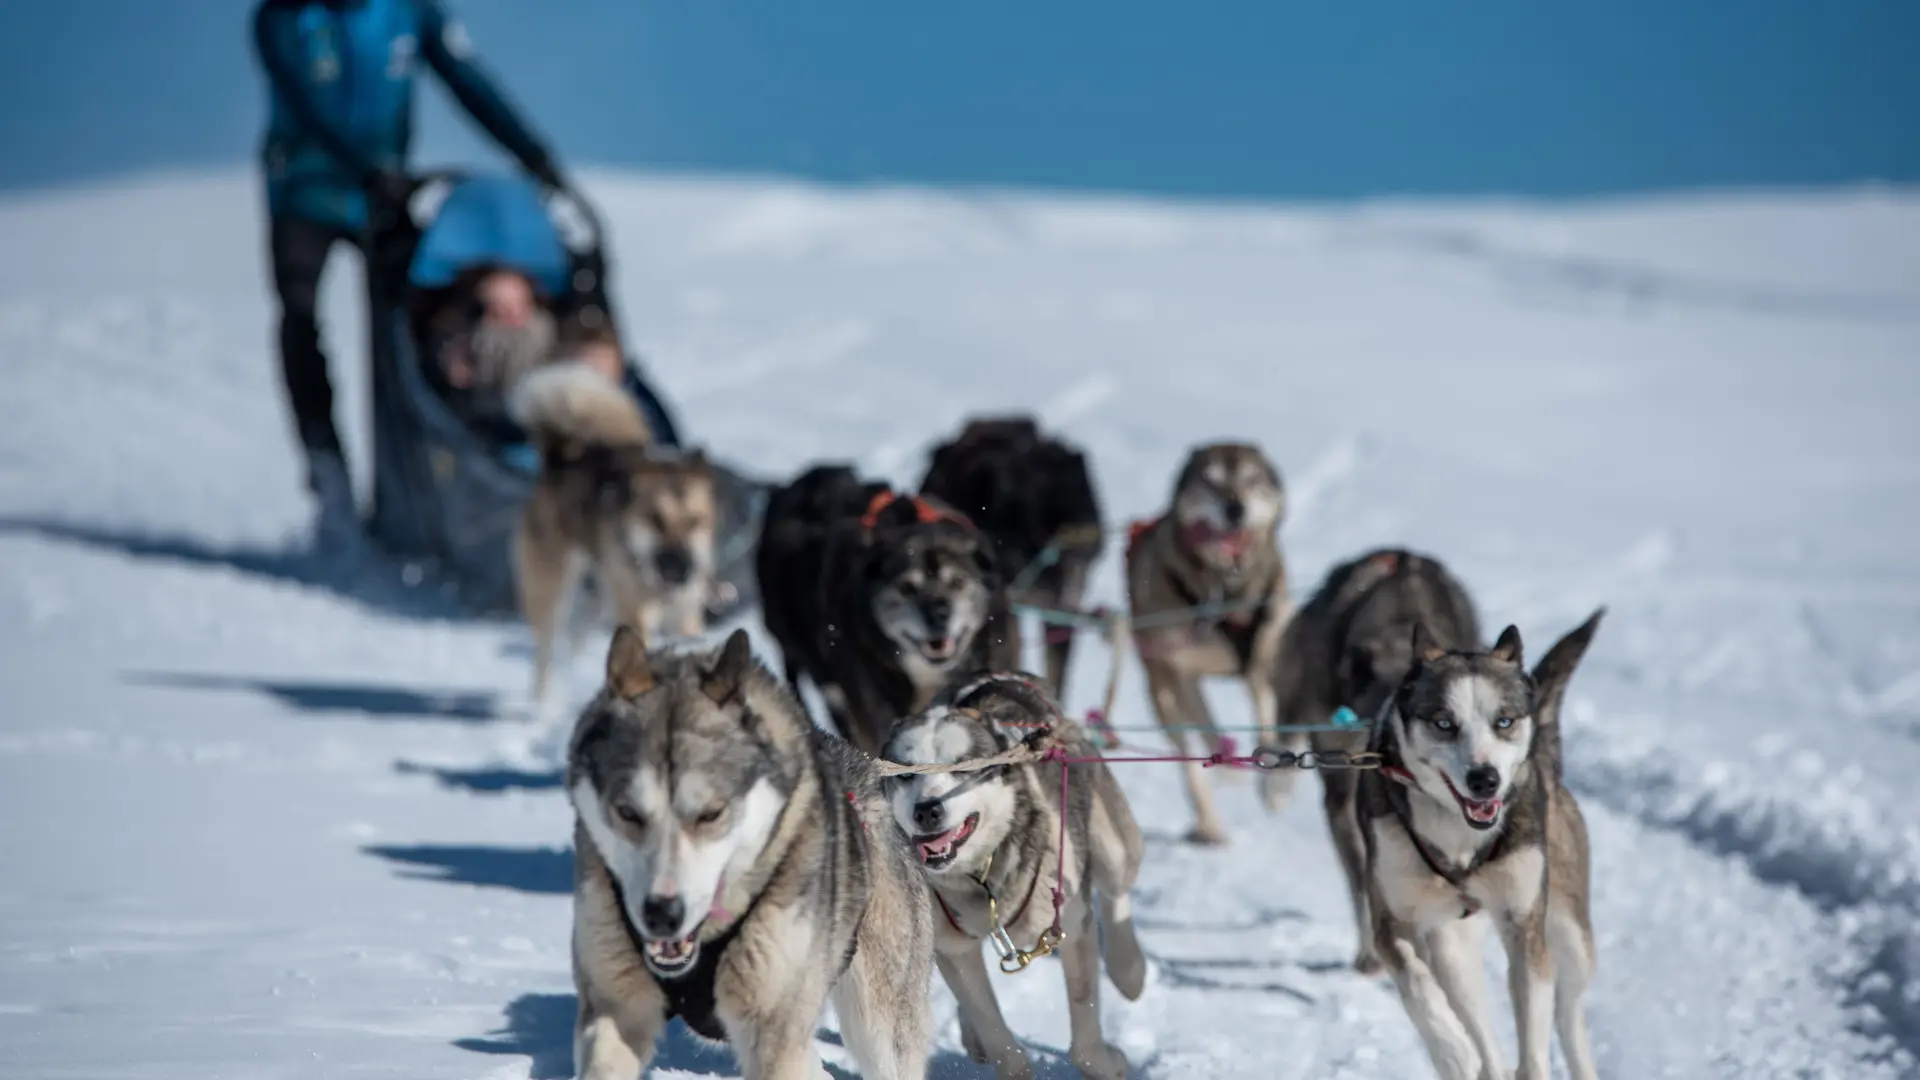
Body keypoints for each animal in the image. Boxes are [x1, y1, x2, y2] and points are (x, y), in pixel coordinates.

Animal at [564, 626, 933, 1068]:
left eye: (711, 814)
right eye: (627, 812)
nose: (662, 914)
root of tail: (865, 768)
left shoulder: (775, 1026)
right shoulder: (615, 1004)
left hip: (878, 1023)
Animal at [879, 672, 1136, 1076]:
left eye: (963, 767)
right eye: (906, 773)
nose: (927, 809)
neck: (983, 877)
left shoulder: (1069, 923)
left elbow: (1084, 1035)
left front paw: (1109, 1066)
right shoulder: (954, 948)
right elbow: (994, 1031)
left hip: (1109, 842)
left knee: (1116, 887)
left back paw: (1130, 969)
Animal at [1359, 611, 1612, 1068]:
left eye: (1504, 721)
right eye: (1444, 723)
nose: (1484, 780)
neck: (1460, 842)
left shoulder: (1524, 924)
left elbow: (1534, 1038)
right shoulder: (1391, 924)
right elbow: (1419, 990)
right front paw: (1453, 1053)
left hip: (1571, 933)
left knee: (1567, 1011)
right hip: (1451, 944)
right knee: (1479, 1027)